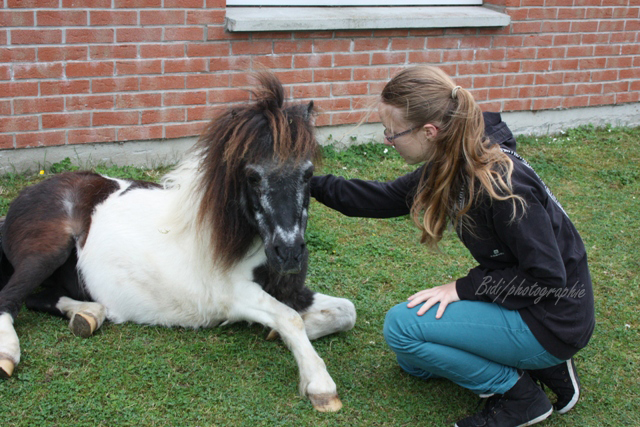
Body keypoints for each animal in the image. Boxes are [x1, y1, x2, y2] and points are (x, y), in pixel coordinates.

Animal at [0, 72, 356, 412]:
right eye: (253, 176)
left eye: (308, 173)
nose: (289, 254)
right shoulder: (235, 296)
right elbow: (289, 318)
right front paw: (319, 384)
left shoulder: (291, 292)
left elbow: (345, 311)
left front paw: (282, 335)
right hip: (45, 252)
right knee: (10, 298)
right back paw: (9, 353)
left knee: (41, 298)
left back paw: (88, 314)